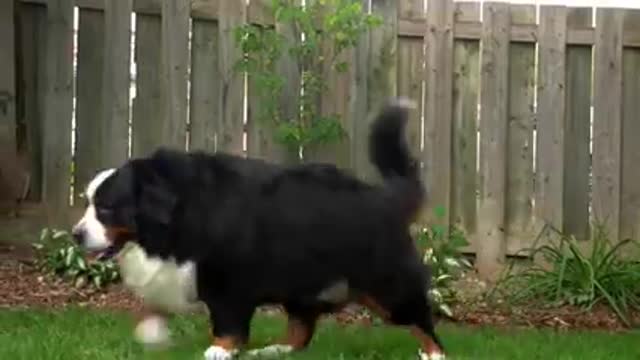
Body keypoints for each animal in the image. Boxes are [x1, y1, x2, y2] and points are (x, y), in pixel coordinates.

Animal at [71, 99, 444, 360]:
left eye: (106, 208)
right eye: (88, 202)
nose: (76, 234)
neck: (181, 210)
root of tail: (386, 198)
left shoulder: (228, 282)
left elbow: (228, 323)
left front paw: (220, 349)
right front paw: (153, 330)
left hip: (387, 287)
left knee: (421, 321)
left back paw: (433, 354)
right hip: (302, 286)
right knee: (301, 331)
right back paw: (275, 350)